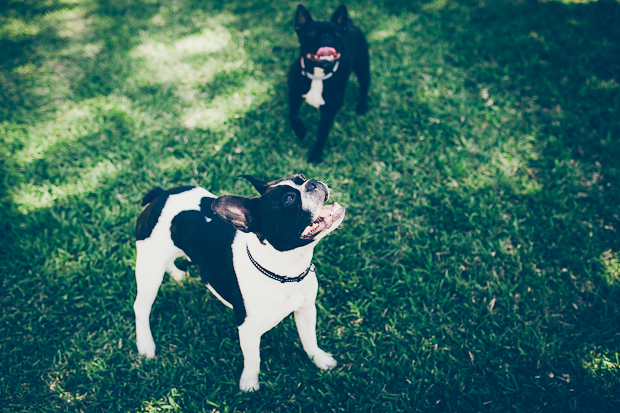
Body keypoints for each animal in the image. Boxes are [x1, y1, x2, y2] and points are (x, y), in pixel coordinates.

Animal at [134, 173, 344, 390]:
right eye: (288, 199)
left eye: (300, 177)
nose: (311, 182)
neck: (285, 272)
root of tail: (160, 196)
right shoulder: (248, 331)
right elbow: (253, 359)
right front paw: (250, 382)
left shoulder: (306, 310)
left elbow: (309, 339)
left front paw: (319, 359)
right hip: (150, 269)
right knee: (141, 308)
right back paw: (145, 344)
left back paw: (177, 275)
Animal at [288, 4, 370, 163]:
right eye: (312, 32)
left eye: (337, 33)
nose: (327, 36)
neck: (317, 75)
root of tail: (349, 24)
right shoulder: (294, 94)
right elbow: (292, 114)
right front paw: (300, 130)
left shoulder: (328, 112)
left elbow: (321, 135)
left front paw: (315, 155)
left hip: (362, 67)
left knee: (364, 86)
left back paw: (362, 106)